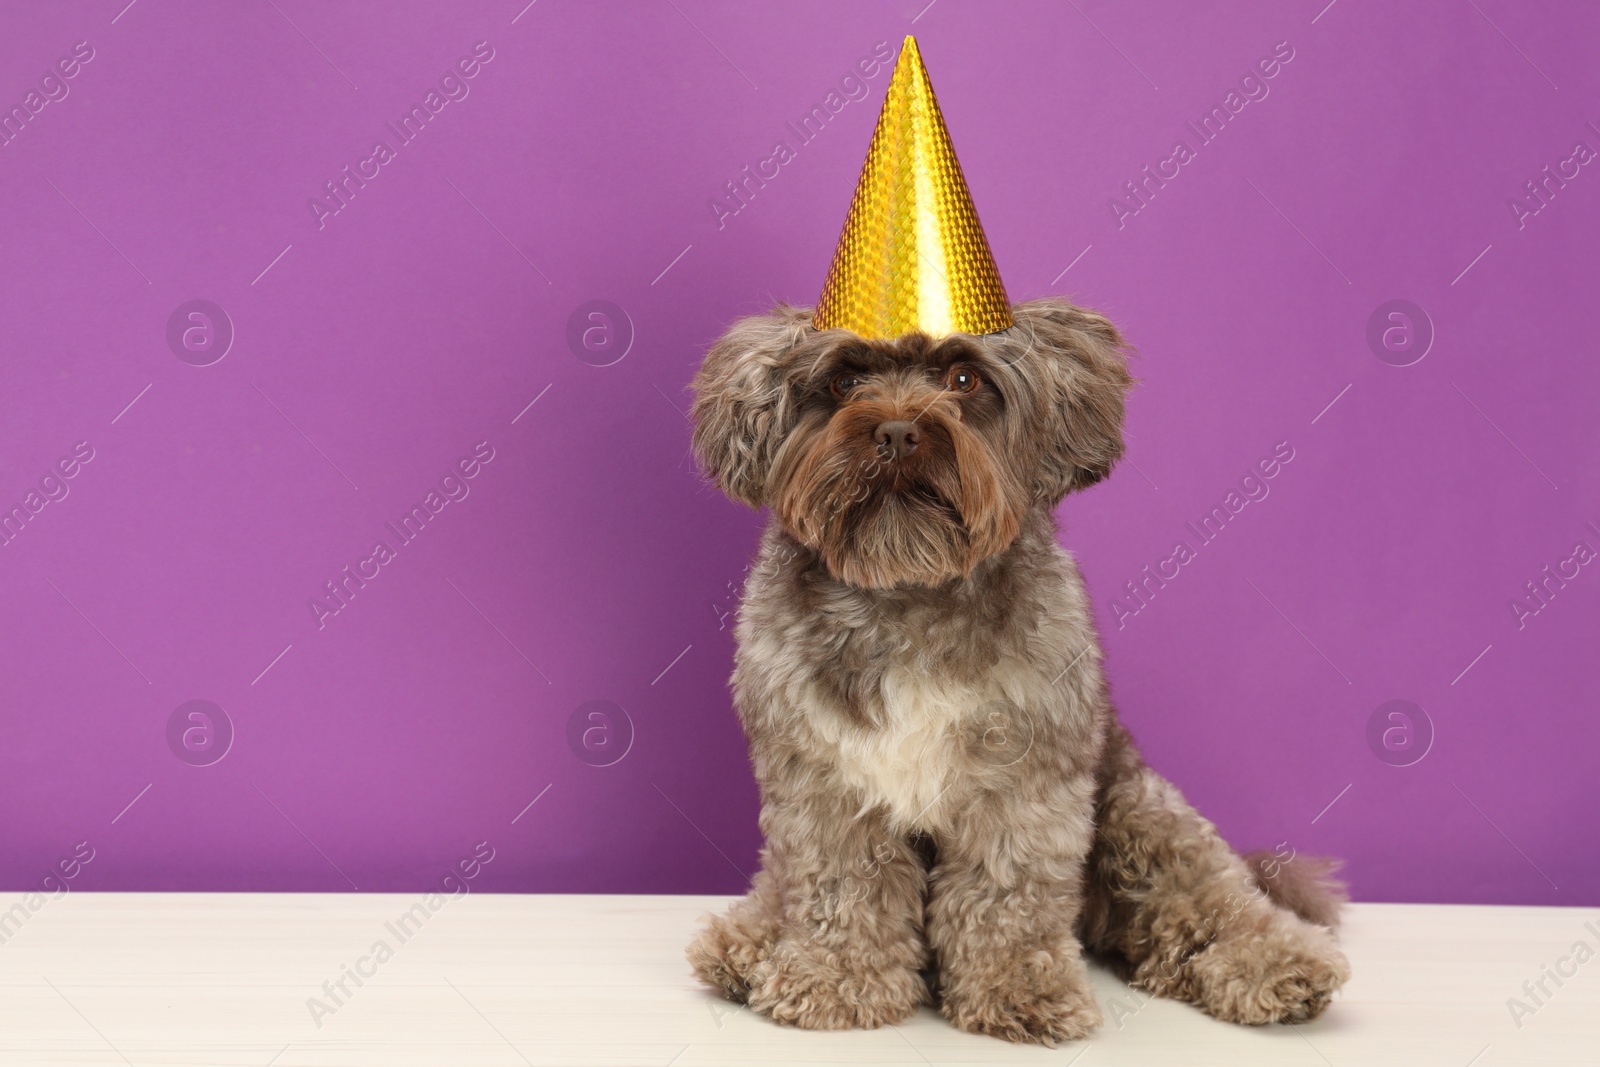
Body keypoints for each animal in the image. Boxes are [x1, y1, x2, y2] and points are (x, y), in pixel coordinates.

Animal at [688, 295, 1350, 1049]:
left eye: (964, 378)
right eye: (844, 379)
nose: (896, 432)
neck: (910, 591)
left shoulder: (1023, 781)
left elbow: (1007, 894)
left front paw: (1017, 987)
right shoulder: (825, 781)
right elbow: (840, 885)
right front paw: (834, 978)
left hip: (1140, 810)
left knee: (1207, 894)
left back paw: (1279, 961)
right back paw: (749, 940)